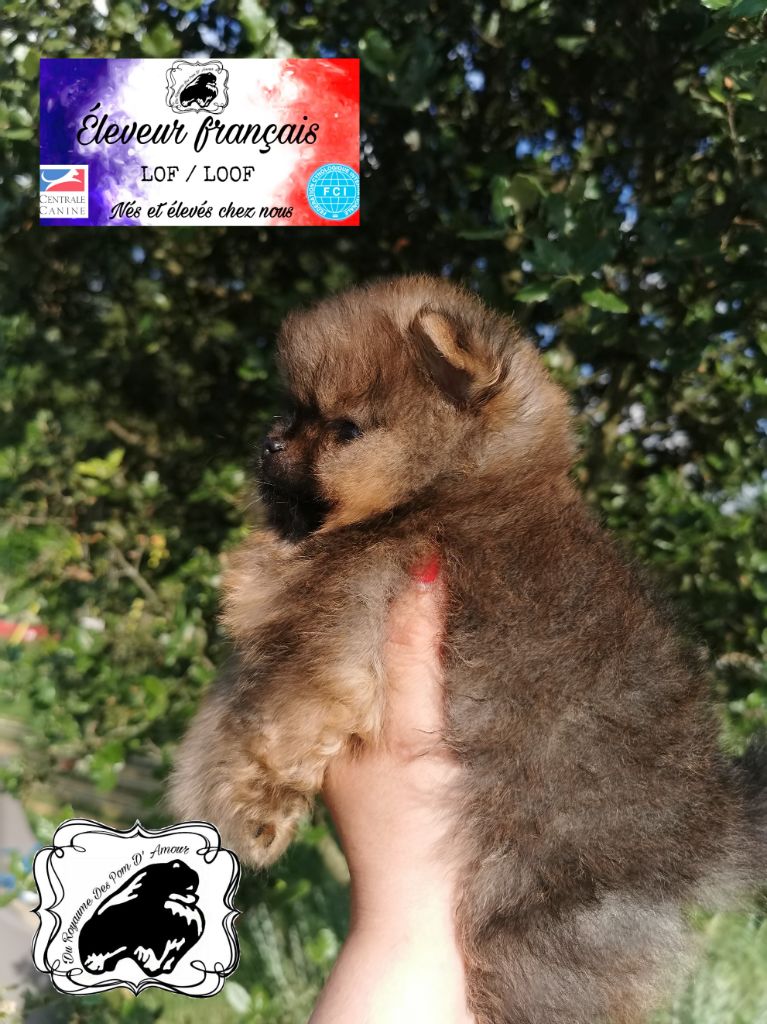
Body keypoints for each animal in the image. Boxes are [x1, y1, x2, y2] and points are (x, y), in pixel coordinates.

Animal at [171, 275, 767, 1023]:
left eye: (344, 429)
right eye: (293, 411)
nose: (269, 440)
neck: (446, 493)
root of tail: (710, 829)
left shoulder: (340, 617)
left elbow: (272, 720)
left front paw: (246, 814)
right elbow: (229, 710)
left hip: (536, 920)